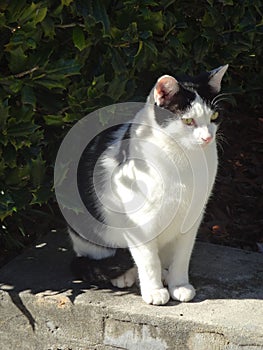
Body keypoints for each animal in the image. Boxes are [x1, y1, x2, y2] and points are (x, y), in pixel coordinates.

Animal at [68, 64, 229, 304]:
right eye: (187, 121)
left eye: (215, 116)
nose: (207, 138)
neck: (183, 159)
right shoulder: (139, 222)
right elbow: (148, 259)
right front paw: (153, 291)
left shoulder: (192, 216)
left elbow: (182, 255)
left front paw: (179, 285)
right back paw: (125, 276)